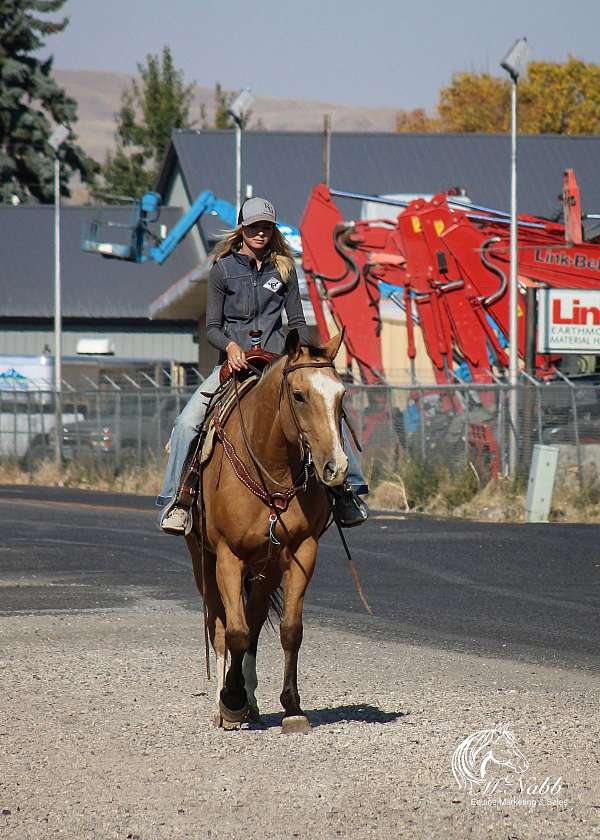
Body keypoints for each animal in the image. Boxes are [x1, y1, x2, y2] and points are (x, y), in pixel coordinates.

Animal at [185, 324, 350, 732]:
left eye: (341, 395)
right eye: (299, 395)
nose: (335, 467)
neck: (271, 469)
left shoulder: (301, 551)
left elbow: (290, 629)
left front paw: (291, 705)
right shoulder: (228, 556)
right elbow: (234, 631)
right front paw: (230, 702)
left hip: (267, 568)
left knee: (256, 621)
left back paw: (252, 699)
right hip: (203, 562)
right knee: (220, 626)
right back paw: (226, 705)